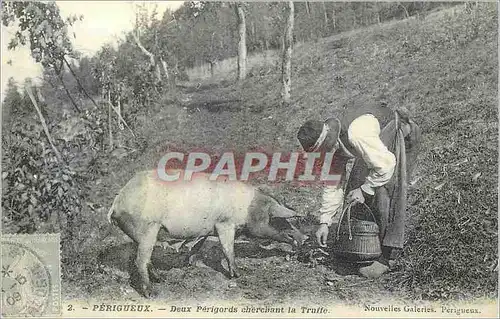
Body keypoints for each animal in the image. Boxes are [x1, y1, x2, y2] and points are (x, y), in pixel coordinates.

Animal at [107, 170, 306, 298]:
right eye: (279, 220)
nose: (305, 237)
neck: (249, 209)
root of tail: (117, 203)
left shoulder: (207, 229)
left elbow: (198, 245)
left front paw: (190, 261)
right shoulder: (224, 223)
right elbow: (228, 249)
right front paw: (238, 275)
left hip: (140, 235)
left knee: (143, 258)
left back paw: (161, 279)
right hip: (148, 229)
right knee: (140, 260)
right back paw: (152, 293)